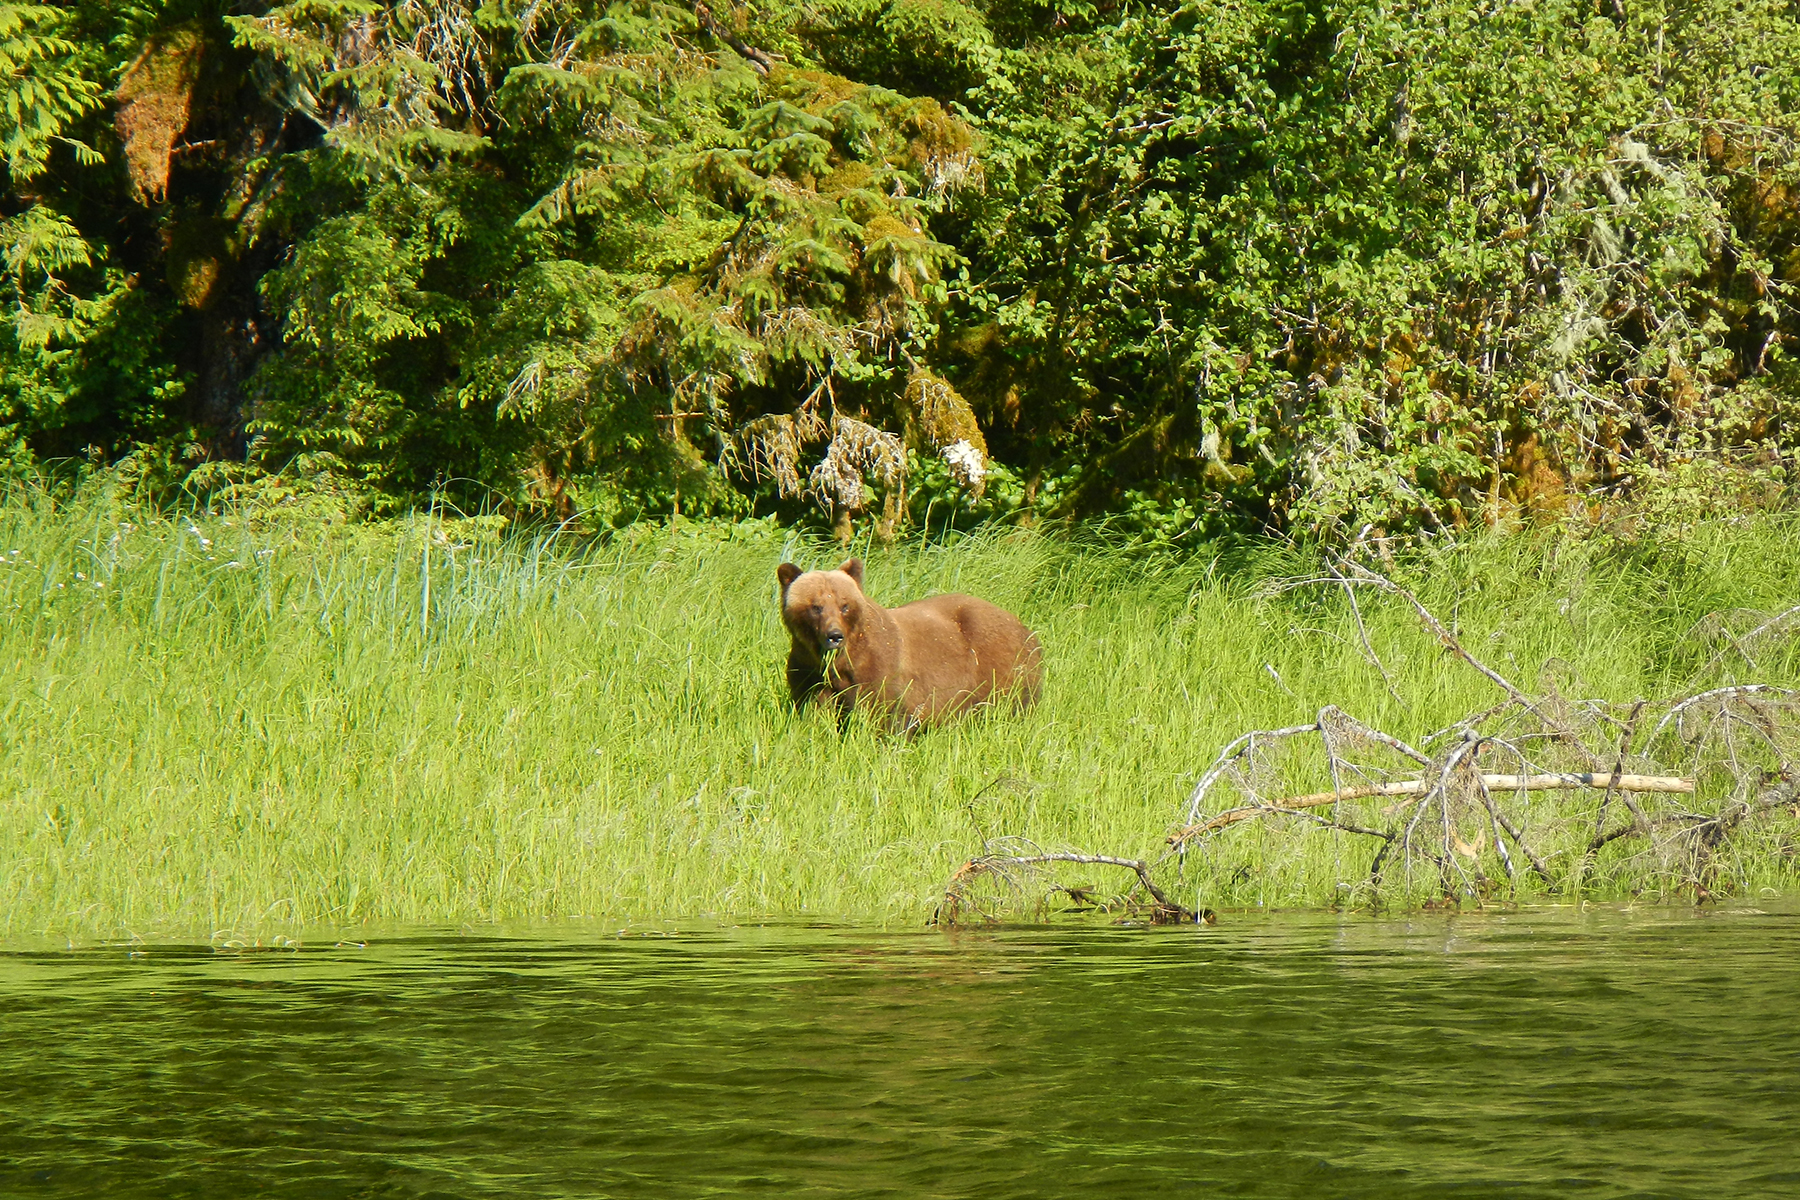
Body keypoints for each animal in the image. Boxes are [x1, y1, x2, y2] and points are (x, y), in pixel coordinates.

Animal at [774, 557, 1044, 726]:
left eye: (844, 605)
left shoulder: (880, 671)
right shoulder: (807, 672)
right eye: (815, 606)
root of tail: (1023, 626)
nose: (834, 636)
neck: (837, 662)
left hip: (1002, 667)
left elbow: (882, 716)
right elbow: (812, 712)